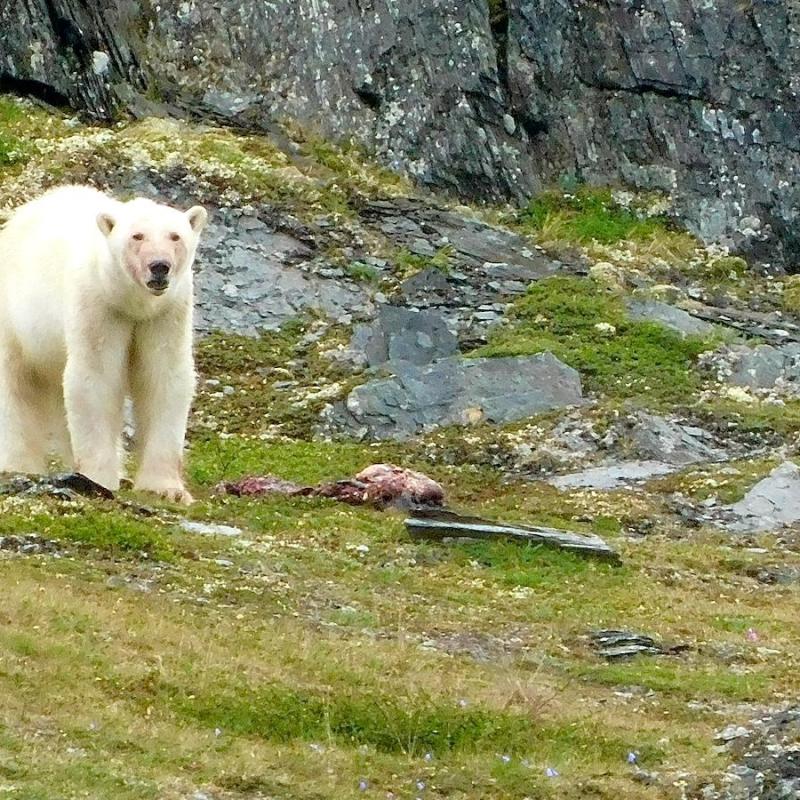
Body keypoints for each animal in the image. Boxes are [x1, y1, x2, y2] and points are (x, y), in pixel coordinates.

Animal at [0, 185, 208, 504]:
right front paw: (99, 478)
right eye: (137, 236)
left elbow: (164, 378)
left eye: (175, 236)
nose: (160, 267)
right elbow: (95, 378)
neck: (131, 303)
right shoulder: (98, 305)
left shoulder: (166, 313)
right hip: (15, 318)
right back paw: (20, 464)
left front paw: (167, 489)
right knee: (16, 384)